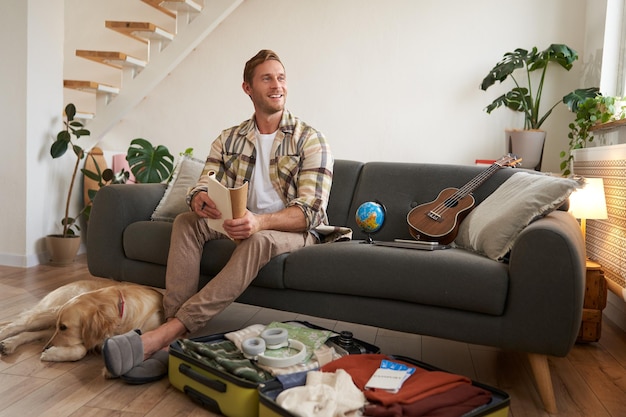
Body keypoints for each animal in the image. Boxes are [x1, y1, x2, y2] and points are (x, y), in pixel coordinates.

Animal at [0, 280, 163, 360]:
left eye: (64, 327)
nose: (45, 348)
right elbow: (82, 349)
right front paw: (52, 353)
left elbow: (82, 348)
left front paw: (51, 353)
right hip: (53, 312)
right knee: (18, 324)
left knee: (30, 333)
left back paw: (9, 344)